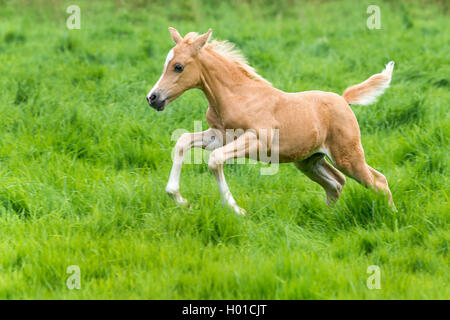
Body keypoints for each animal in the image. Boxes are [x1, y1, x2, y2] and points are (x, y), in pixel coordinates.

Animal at [147, 28, 394, 215]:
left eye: (178, 66)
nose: (153, 98)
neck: (238, 96)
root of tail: (344, 100)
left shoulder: (257, 141)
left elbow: (215, 160)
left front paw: (237, 210)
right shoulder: (219, 136)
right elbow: (183, 141)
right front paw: (179, 199)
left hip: (348, 156)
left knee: (379, 181)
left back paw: (392, 216)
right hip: (309, 161)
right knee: (336, 183)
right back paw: (328, 217)